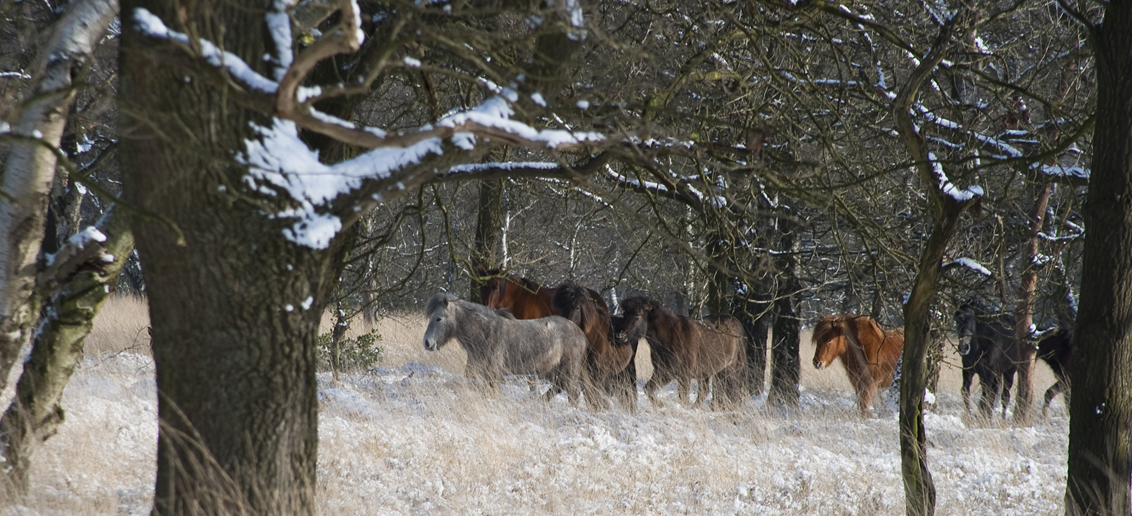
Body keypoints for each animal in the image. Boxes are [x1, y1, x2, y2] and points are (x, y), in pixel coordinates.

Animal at [423, 293, 587, 404]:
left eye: (438, 318)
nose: (427, 342)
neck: (485, 334)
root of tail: (581, 334)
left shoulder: (493, 375)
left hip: (568, 372)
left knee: (573, 394)